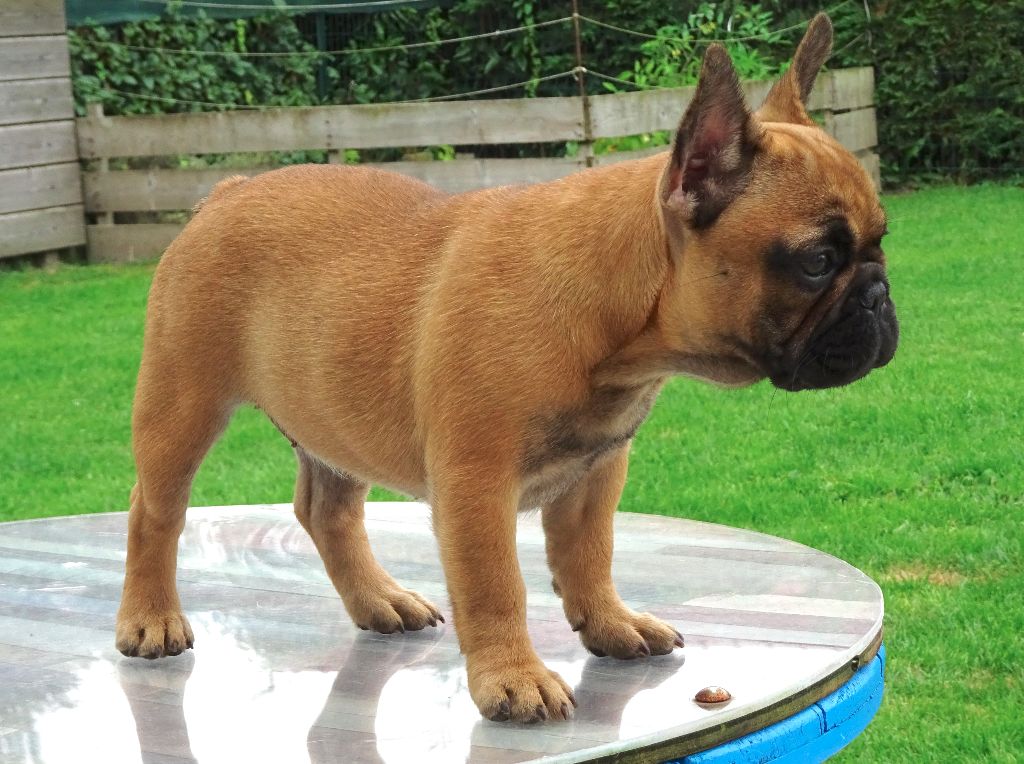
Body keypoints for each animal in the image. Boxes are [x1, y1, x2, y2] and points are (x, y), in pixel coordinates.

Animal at [116, 13, 897, 723]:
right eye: (816, 261)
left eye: (882, 241)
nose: (881, 296)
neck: (619, 328)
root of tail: (228, 191)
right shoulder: (475, 484)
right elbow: (498, 585)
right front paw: (513, 679)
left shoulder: (597, 470)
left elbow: (590, 554)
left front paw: (611, 623)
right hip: (183, 402)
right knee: (155, 512)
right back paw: (150, 617)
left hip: (330, 413)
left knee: (326, 510)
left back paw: (379, 599)